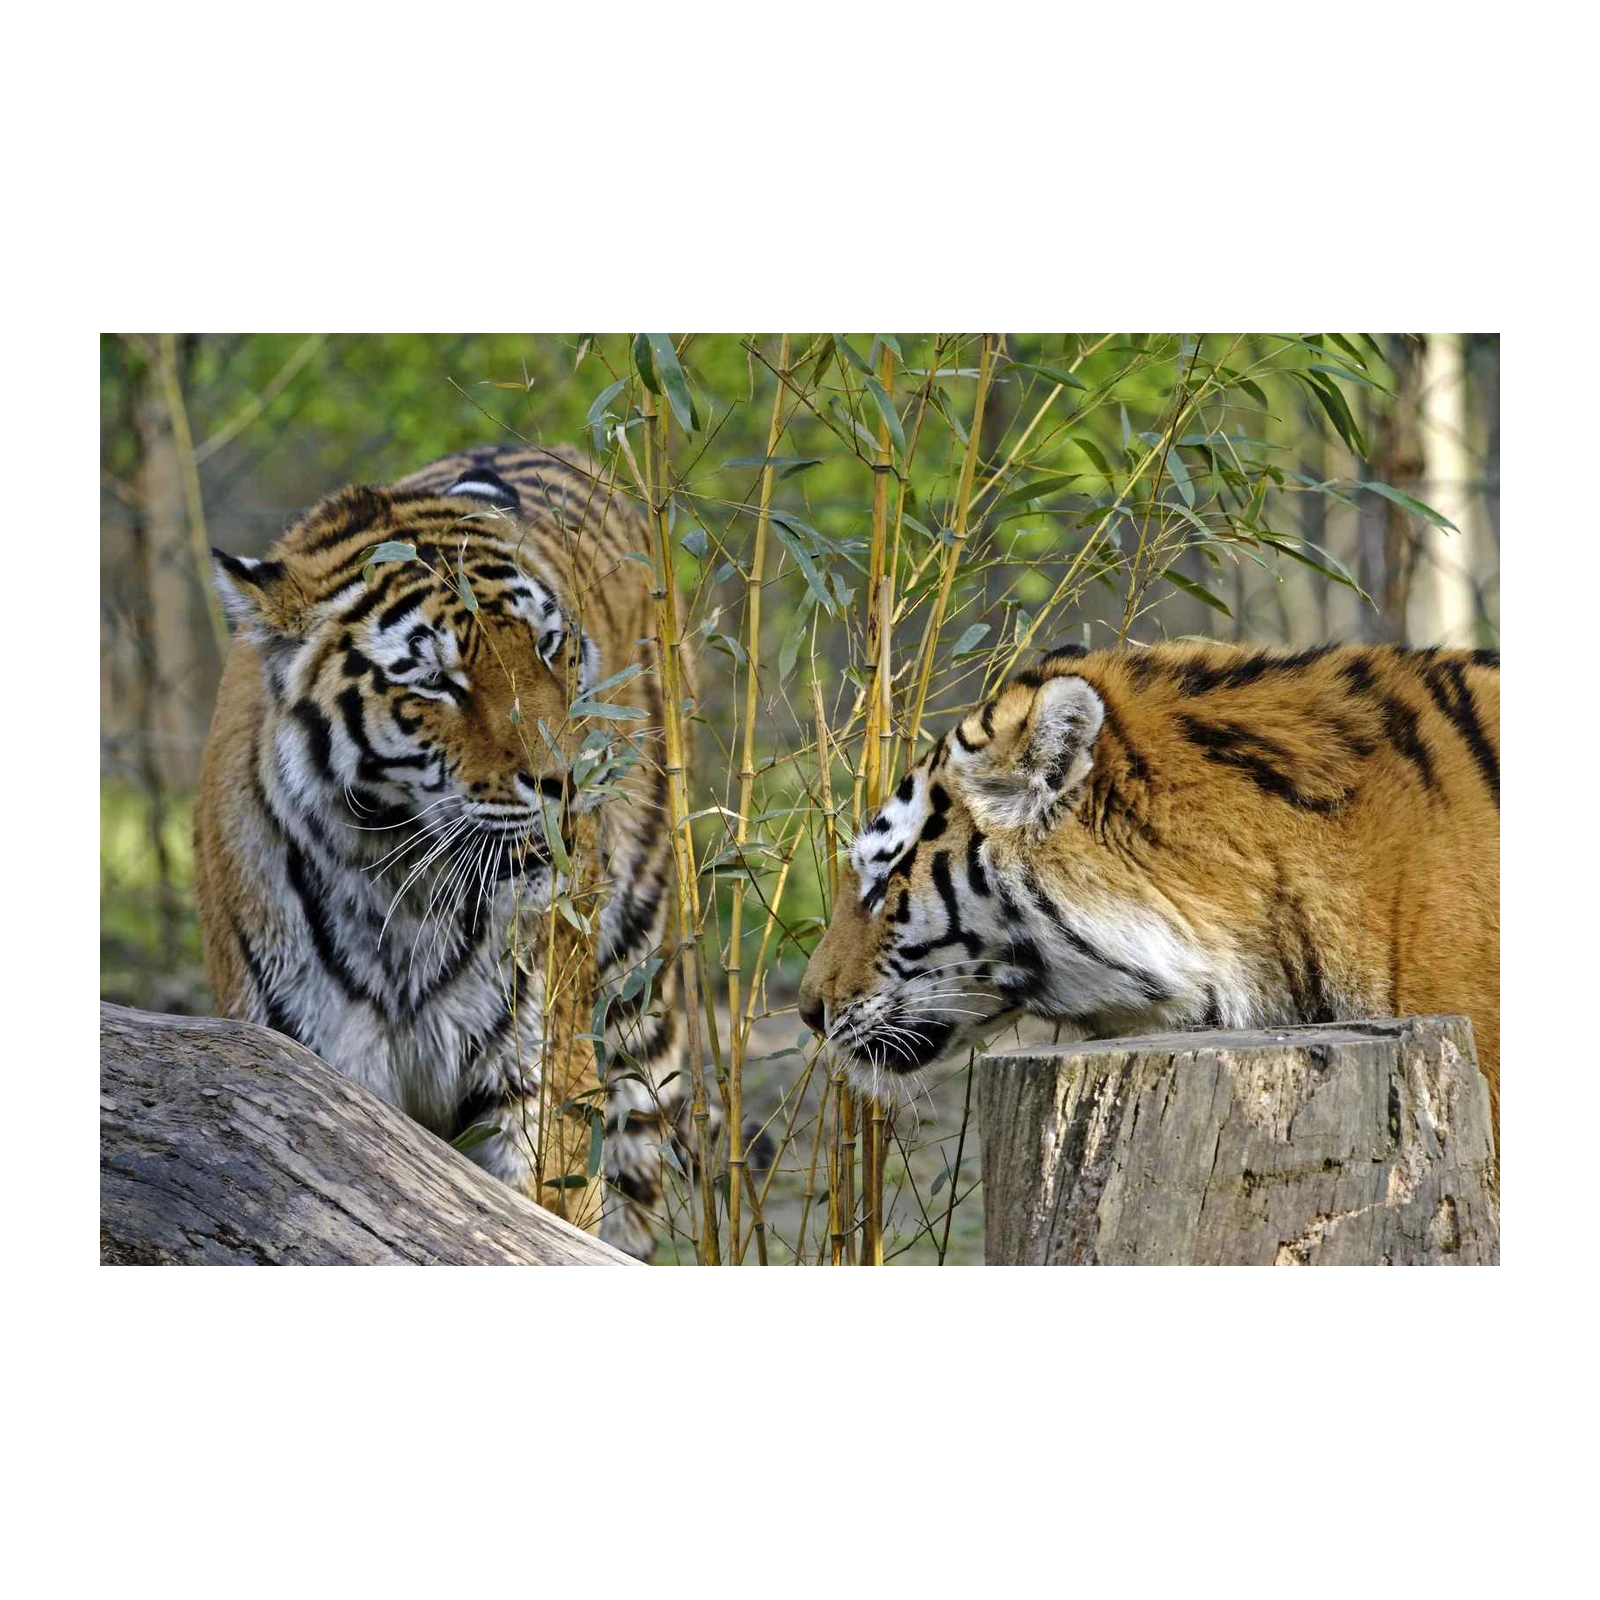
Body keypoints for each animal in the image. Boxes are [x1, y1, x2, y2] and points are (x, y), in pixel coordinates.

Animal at [194, 443, 701, 1261]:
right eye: (436, 680)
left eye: (547, 645)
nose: (567, 782)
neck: (397, 882)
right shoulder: (308, 1073)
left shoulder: (540, 1082)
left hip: (636, 994)